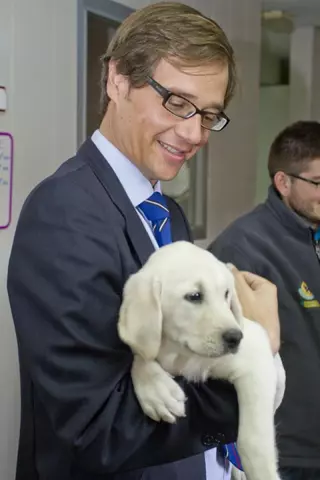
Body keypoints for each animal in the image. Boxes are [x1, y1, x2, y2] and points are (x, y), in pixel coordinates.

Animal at [118, 242, 284, 480]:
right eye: (194, 296)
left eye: (226, 294)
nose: (235, 338)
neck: (183, 353)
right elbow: (141, 352)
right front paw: (156, 391)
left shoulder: (257, 359)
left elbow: (252, 440)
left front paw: (263, 473)